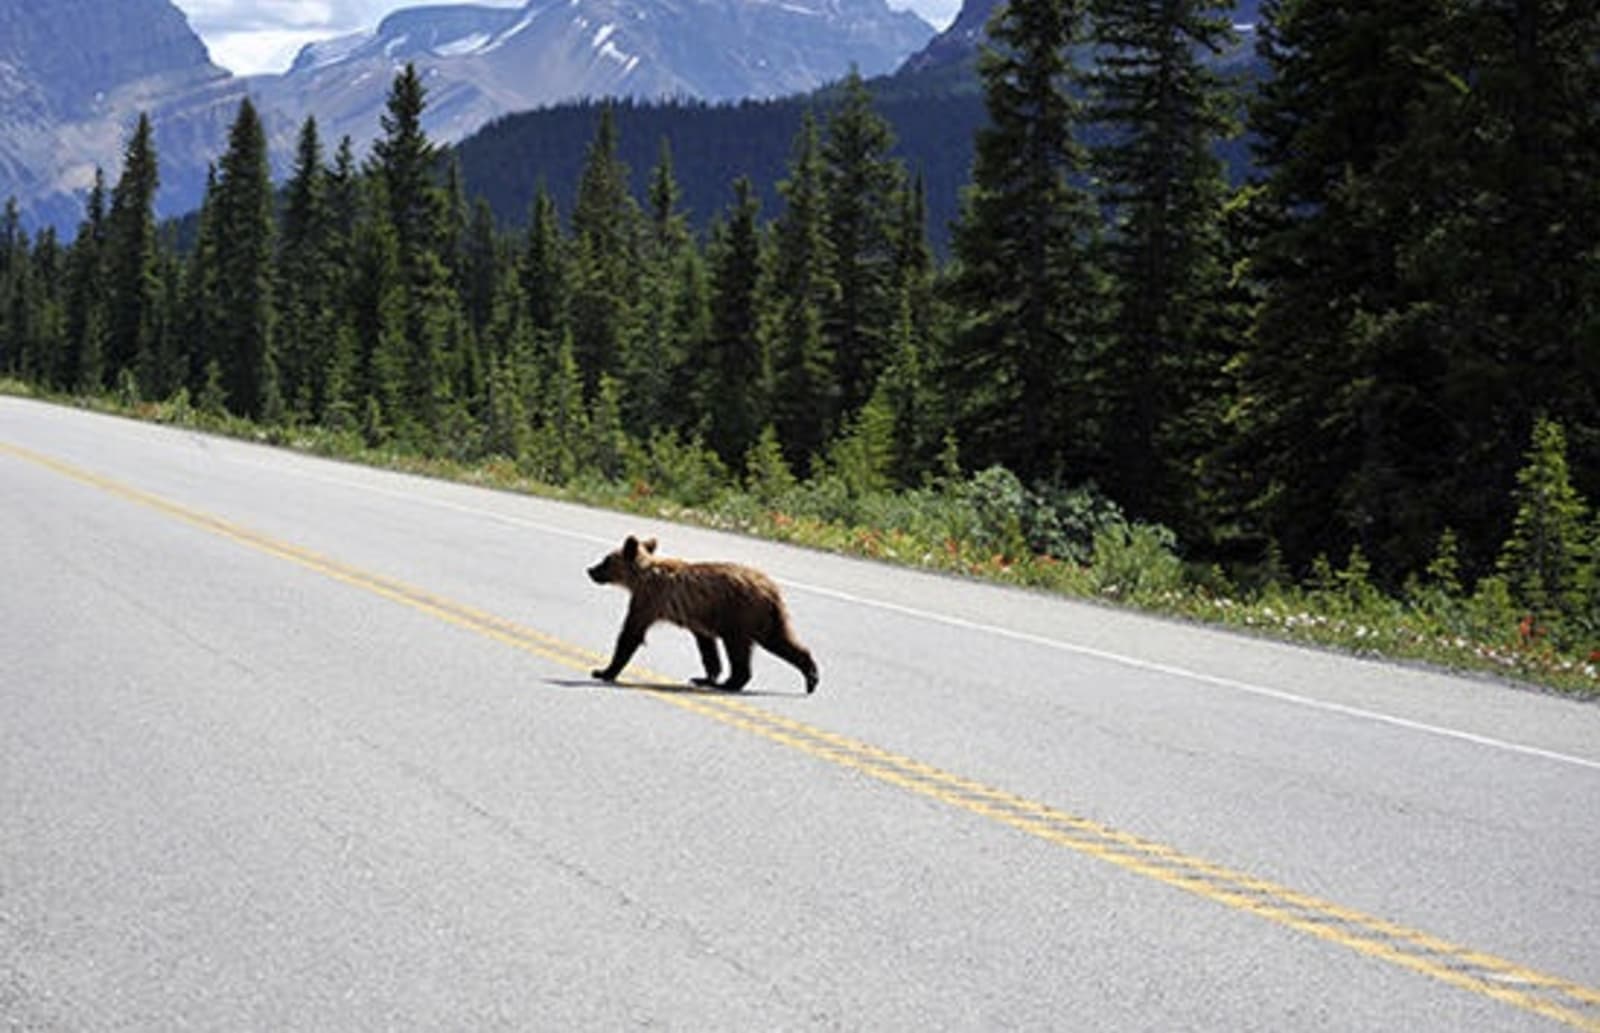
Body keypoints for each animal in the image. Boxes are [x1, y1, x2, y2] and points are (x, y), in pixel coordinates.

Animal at [587, 535, 819, 694]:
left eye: (605, 561)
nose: (590, 570)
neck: (640, 577)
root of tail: (771, 588)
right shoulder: (698, 618)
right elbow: (707, 647)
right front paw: (706, 677)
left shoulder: (649, 600)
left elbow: (632, 633)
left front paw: (604, 671)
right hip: (766, 616)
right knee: (779, 640)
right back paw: (811, 676)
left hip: (740, 613)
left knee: (739, 647)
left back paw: (731, 683)